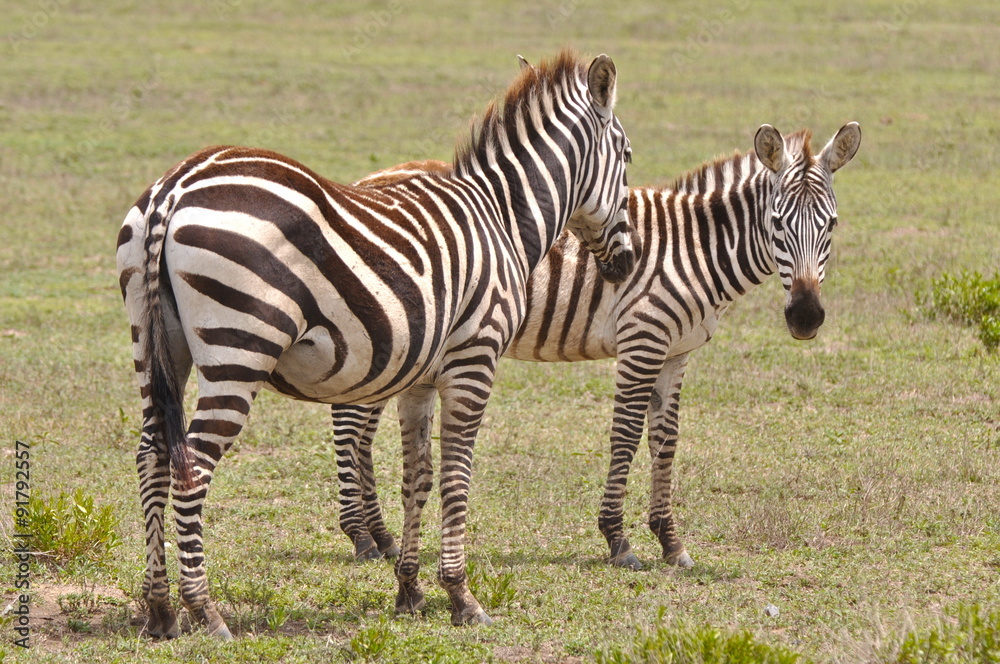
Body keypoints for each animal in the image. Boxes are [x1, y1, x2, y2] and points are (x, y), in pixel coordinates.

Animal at [117, 48, 632, 640]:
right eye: (628, 157)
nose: (626, 263)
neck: (502, 217)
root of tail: (176, 185)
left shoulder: (421, 380)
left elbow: (418, 477)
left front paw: (409, 591)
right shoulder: (473, 361)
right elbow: (456, 477)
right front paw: (462, 596)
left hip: (155, 345)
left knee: (152, 455)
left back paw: (160, 609)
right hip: (238, 350)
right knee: (192, 467)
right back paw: (206, 610)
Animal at [334, 120, 860, 572]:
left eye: (833, 225)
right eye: (778, 223)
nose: (806, 316)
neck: (698, 248)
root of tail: (367, 180)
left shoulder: (676, 354)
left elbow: (665, 441)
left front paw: (670, 541)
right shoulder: (643, 339)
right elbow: (625, 435)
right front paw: (618, 539)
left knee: (363, 429)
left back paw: (381, 536)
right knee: (349, 423)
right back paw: (361, 536)